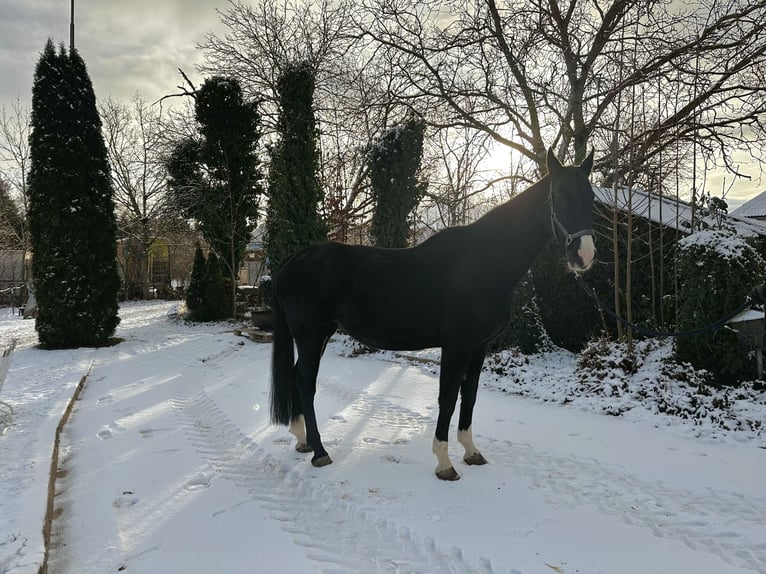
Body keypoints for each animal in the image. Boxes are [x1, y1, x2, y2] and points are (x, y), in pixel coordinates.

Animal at [270, 148, 600, 482]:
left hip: (318, 336)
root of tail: (291, 261)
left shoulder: (480, 346)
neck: (483, 262)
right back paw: (320, 451)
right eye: (559, 197)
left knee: (297, 377)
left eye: (591, 198)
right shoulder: (456, 345)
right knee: (305, 382)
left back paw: (302, 441)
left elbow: (470, 395)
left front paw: (471, 452)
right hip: (311, 335)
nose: (584, 255)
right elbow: (448, 397)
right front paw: (444, 463)